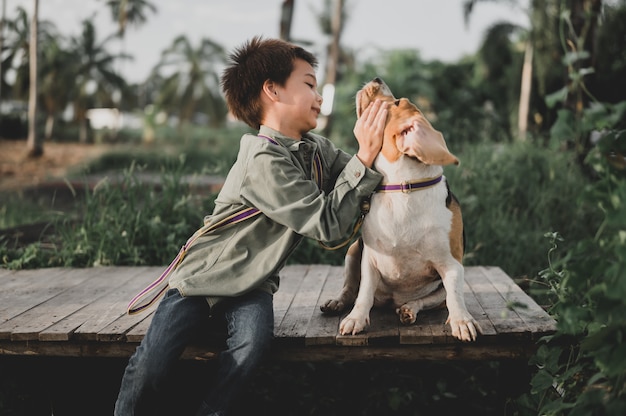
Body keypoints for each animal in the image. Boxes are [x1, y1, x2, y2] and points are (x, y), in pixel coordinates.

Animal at [322, 77, 478, 342]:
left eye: (396, 103)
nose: (377, 79)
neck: (401, 186)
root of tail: (391, 301)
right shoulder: (369, 259)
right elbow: (363, 293)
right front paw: (356, 319)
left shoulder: (452, 265)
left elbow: (455, 297)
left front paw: (462, 321)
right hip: (353, 252)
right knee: (350, 289)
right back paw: (338, 302)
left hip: (436, 291)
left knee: (429, 300)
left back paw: (409, 309)